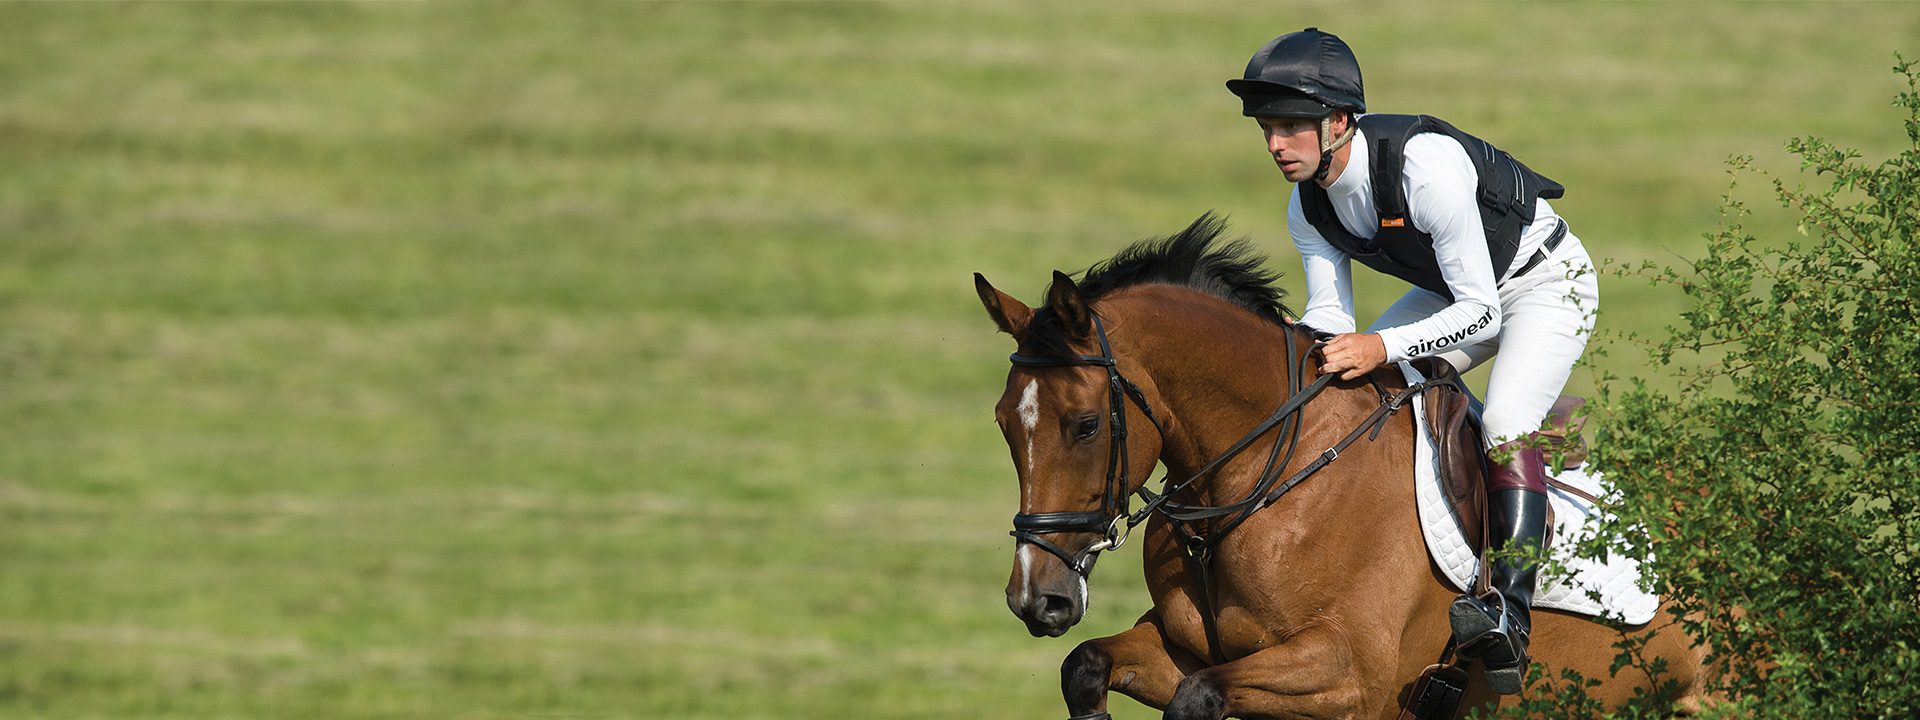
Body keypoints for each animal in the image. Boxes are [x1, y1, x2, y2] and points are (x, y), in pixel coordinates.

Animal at [983, 216, 1704, 720]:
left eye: (1085, 425)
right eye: (1002, 422)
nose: (1037, 599)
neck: (1261, 477)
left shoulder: (1350, 676)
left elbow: (1199, 697)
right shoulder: (1182, 648)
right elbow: (1086, 664)